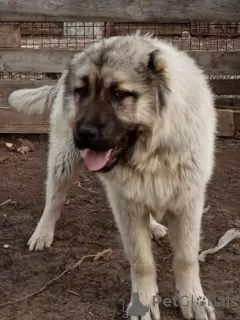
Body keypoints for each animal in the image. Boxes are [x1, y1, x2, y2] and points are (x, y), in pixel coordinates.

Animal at [8, 33, 217, 318]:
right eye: (82, 92)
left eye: (119, 94)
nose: (82, 134)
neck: (151, 153)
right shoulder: (126, 207)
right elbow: (142, 261)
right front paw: (144, 302)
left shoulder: (187, 203)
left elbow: (186, 258)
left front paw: (193, 299)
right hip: (64, 161)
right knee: (54, 199)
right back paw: (43, 233)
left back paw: (153, 226)